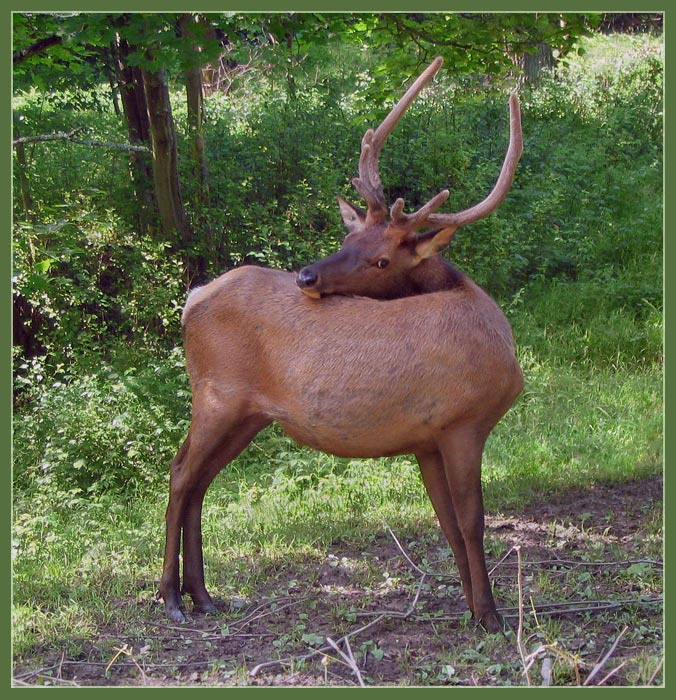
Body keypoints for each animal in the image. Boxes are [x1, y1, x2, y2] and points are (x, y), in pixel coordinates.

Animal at [160, 57, 524, 634]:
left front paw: (470, 605)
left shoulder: (426, 438)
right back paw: (171, 596)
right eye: (348, 237)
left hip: (249, 414)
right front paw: (490, 616)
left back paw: (204, 594)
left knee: (198, 480)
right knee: (179, 474)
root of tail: (193, 300)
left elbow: (447, 523)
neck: (501, 349)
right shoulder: (462, 422)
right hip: (216, 394)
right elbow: (472, 521)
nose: (306, 276)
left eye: (380, 258)